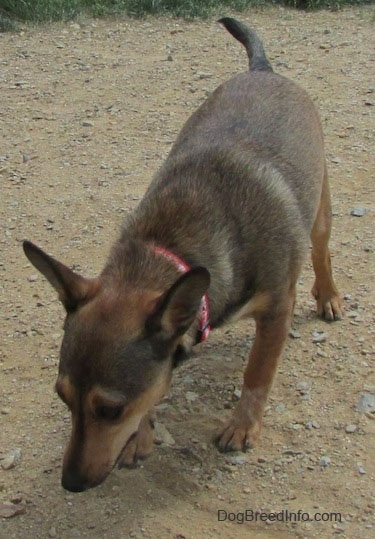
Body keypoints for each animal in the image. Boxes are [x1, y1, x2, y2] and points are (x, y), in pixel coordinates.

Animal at [22, 19, 342, 494]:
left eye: (109, 411)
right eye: (62, 398)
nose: (71, 484)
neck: (170, 243)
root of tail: (263, 70)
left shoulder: (277, 310)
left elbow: (257, 375)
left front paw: (243, 426)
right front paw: (142, 435)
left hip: (319, 212)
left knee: (322, 253)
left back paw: (329, 296)